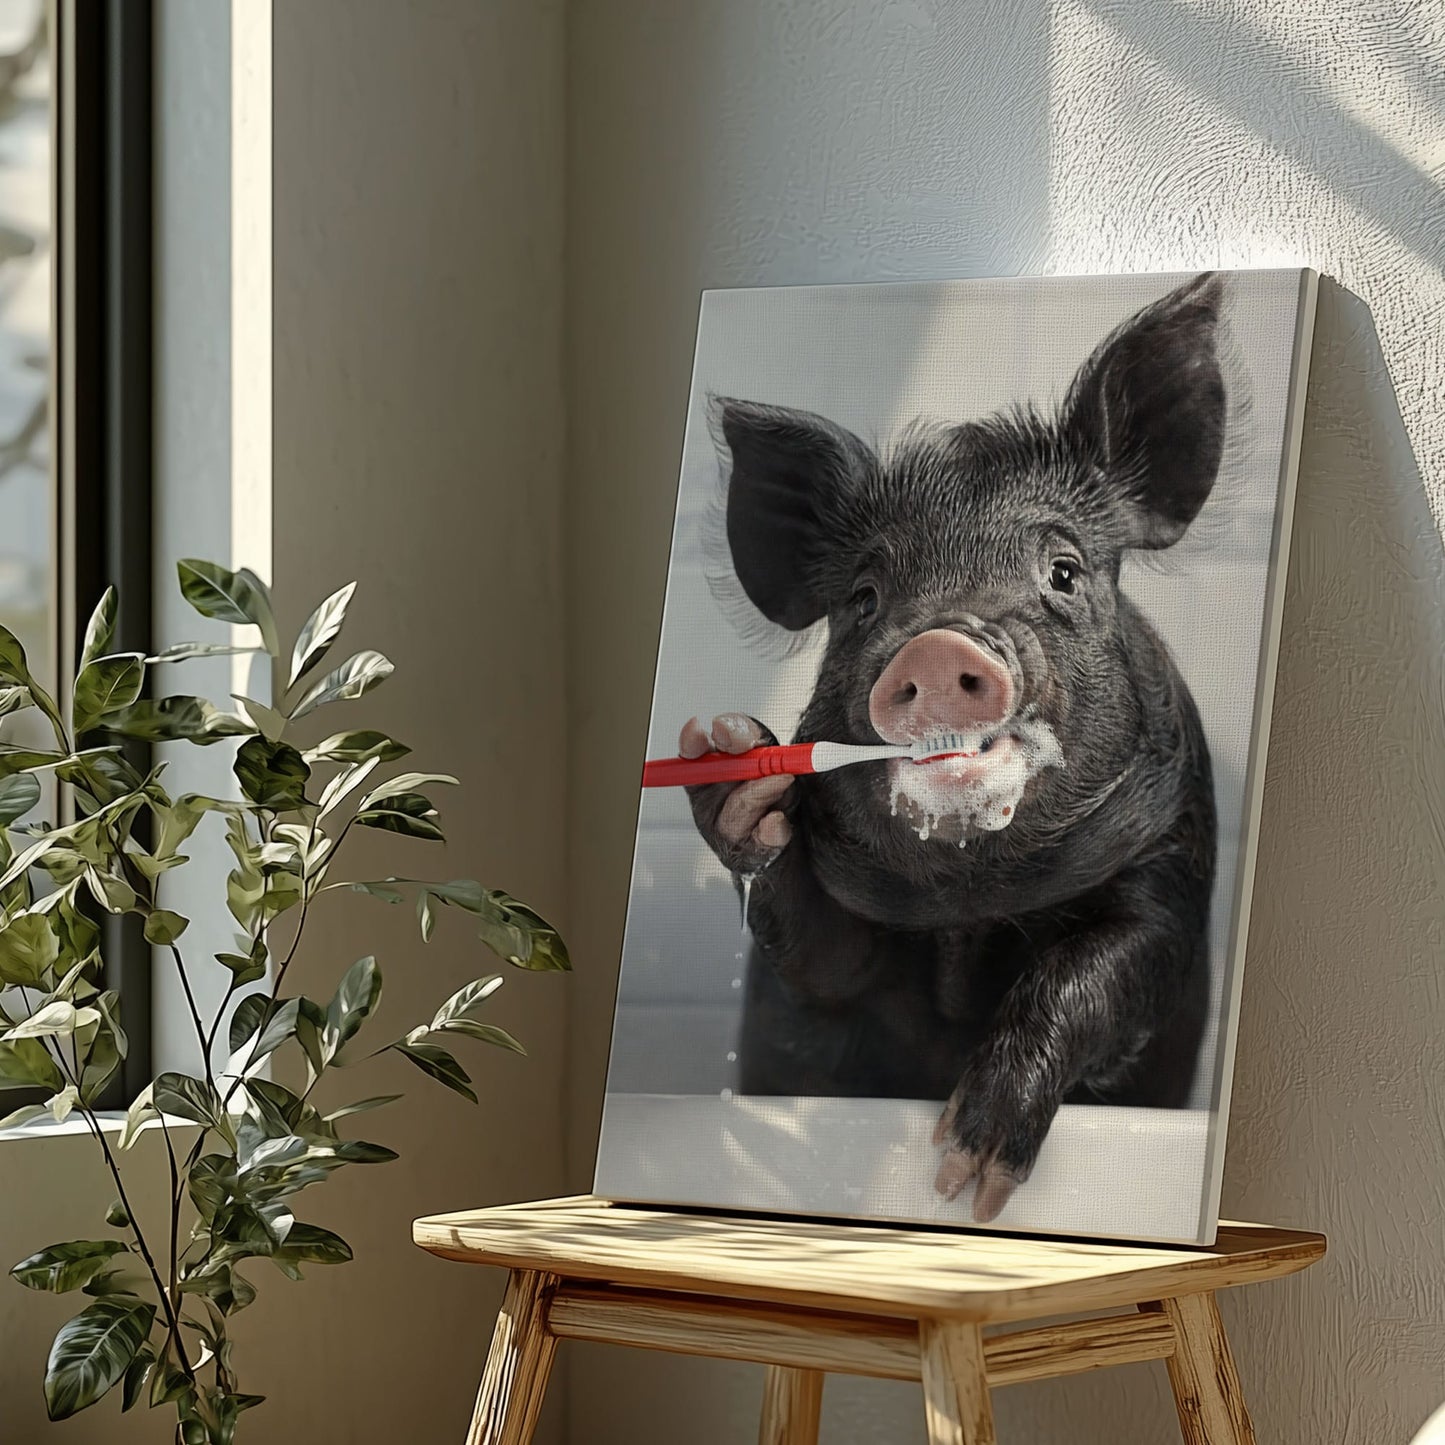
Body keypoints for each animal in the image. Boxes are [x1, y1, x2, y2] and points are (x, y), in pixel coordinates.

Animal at [682, 272, 1224, 1223]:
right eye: (863, 597)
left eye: (1063, 571)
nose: (936, 645)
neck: (967, 907)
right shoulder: (831, 945)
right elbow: (819, 954)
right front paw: (729, 755)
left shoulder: (1172, 855)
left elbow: (1110, 961)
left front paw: (965, 1179)